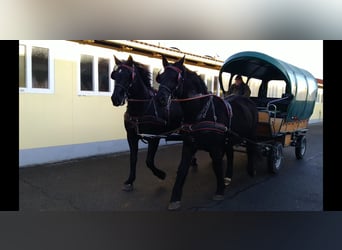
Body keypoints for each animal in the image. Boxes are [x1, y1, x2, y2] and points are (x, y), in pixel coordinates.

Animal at [109, 54, 195, 191]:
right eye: (115, 75)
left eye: (129, 76)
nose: (115, 98)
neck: (142, 107)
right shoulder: (131, 136)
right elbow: (133, 158)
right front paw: (130, 180)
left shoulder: (154, 138)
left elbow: (149, 161)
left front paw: (161, 174)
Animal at [156, 55, 258, 211]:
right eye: (160, 77)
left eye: (176, 78)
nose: (160, 99)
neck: (201, 112)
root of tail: (249, 102)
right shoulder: (189, 146)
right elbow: (182, 169)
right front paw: (175, 198)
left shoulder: (215, 149)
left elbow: (217, 167)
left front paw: (219, 191)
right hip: (230, 139)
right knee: (231, 154)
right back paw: (228, 176)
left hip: (250, 135)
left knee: (251, 150)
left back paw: (251, 171)